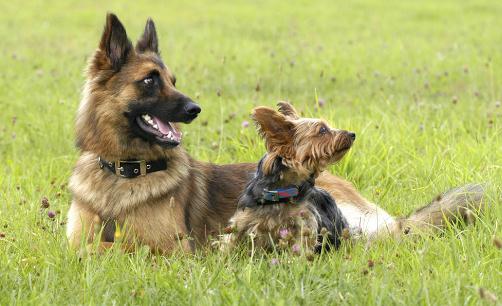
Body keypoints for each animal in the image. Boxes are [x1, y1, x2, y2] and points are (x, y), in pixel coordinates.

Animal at [222, 101, 354, 252]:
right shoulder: (243, 219)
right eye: (322, 130)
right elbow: (231, 240)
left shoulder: (304, 223)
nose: (352, 134)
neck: (281, 190)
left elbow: (301, 247)